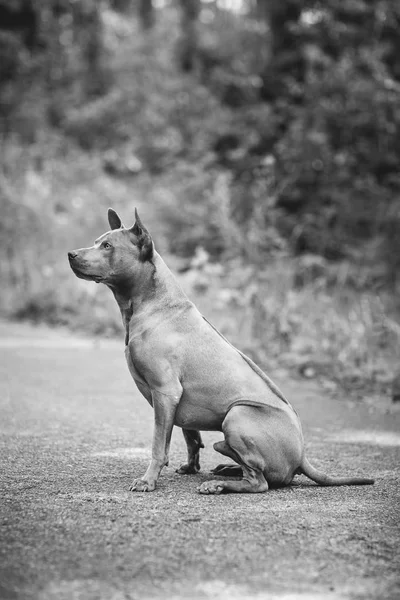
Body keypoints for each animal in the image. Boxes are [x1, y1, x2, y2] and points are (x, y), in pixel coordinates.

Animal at [67, 209, 374, 494]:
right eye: (96, 242)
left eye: (108, 246)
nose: (70, 254)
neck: (154, 304)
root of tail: (302, 457)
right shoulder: (177, 401)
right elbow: (190, 438)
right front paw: (191, 467)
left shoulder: (165, 392)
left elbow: (158, 446)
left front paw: (148, 481)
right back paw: (227, 469)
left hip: (237, 415)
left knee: (259, 482)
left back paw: (218, 484)